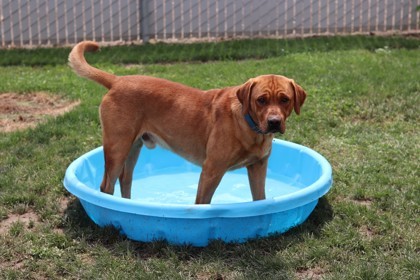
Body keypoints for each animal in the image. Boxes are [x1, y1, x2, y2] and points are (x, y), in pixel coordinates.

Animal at [68, 41, 306, 203]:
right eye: (261, 100)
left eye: (285, 99)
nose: (274, 122)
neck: (251, 127)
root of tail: (117, 80)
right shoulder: (211, 170)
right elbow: (202, 204)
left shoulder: (258, 167)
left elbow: (260, 199)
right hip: (117, 148)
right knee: (106, 185)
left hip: (133, 148)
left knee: (125, 181)